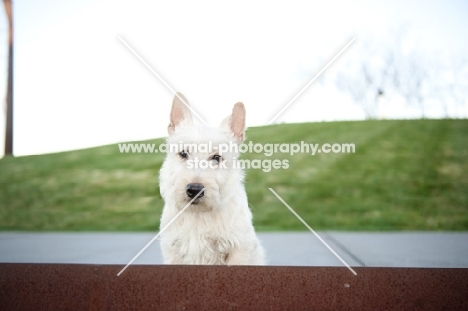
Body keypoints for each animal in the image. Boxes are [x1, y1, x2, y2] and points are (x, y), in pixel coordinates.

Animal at [160, 92, 264, 266]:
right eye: (183, 153)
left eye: (217, 157)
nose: (194, 190)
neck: (199, 215)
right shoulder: (172, 250)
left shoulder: (239, 248)